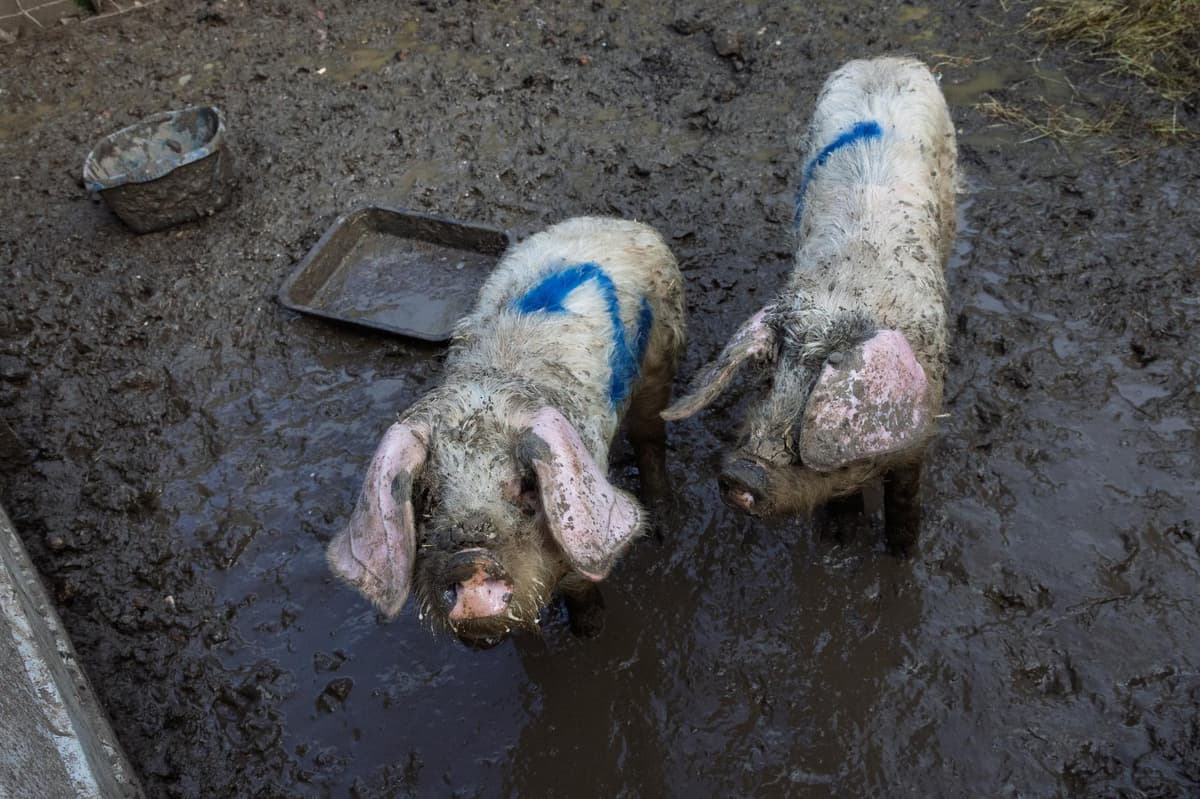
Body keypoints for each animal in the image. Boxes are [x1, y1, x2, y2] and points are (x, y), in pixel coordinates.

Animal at [328, 217, 685, 646]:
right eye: (426, 496)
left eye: (526, 486)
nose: (468, 562)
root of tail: (615, 222)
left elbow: (581, 585)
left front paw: (590, 632)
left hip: (660, 354)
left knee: (650, 436)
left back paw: (663, 528)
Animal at [663, 57, 957, 552]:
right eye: (768, 382)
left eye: (812, 416)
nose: (741, 474)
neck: (841, 298)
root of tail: (885, 59)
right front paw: (838, 538)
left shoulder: (920, 436)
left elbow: (904, 498)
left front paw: (902, 553)